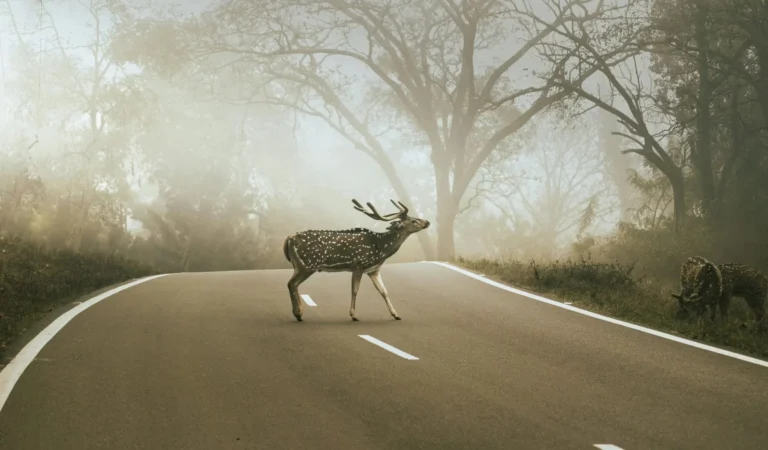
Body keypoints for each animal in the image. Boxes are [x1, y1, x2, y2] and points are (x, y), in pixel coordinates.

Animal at [282, 199, 431, 322]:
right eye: (413, 221)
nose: (427, 222)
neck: (380, 248)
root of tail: (288, 238)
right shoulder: (359, 265)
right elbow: (355, 290)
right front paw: (353, 315)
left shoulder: (373, 270)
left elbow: (384, 291)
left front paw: (396, 315)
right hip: (307, 265)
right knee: (292, 284)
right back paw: (298, 313)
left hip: (299, 265)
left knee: (292, 284)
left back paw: (298, 313)